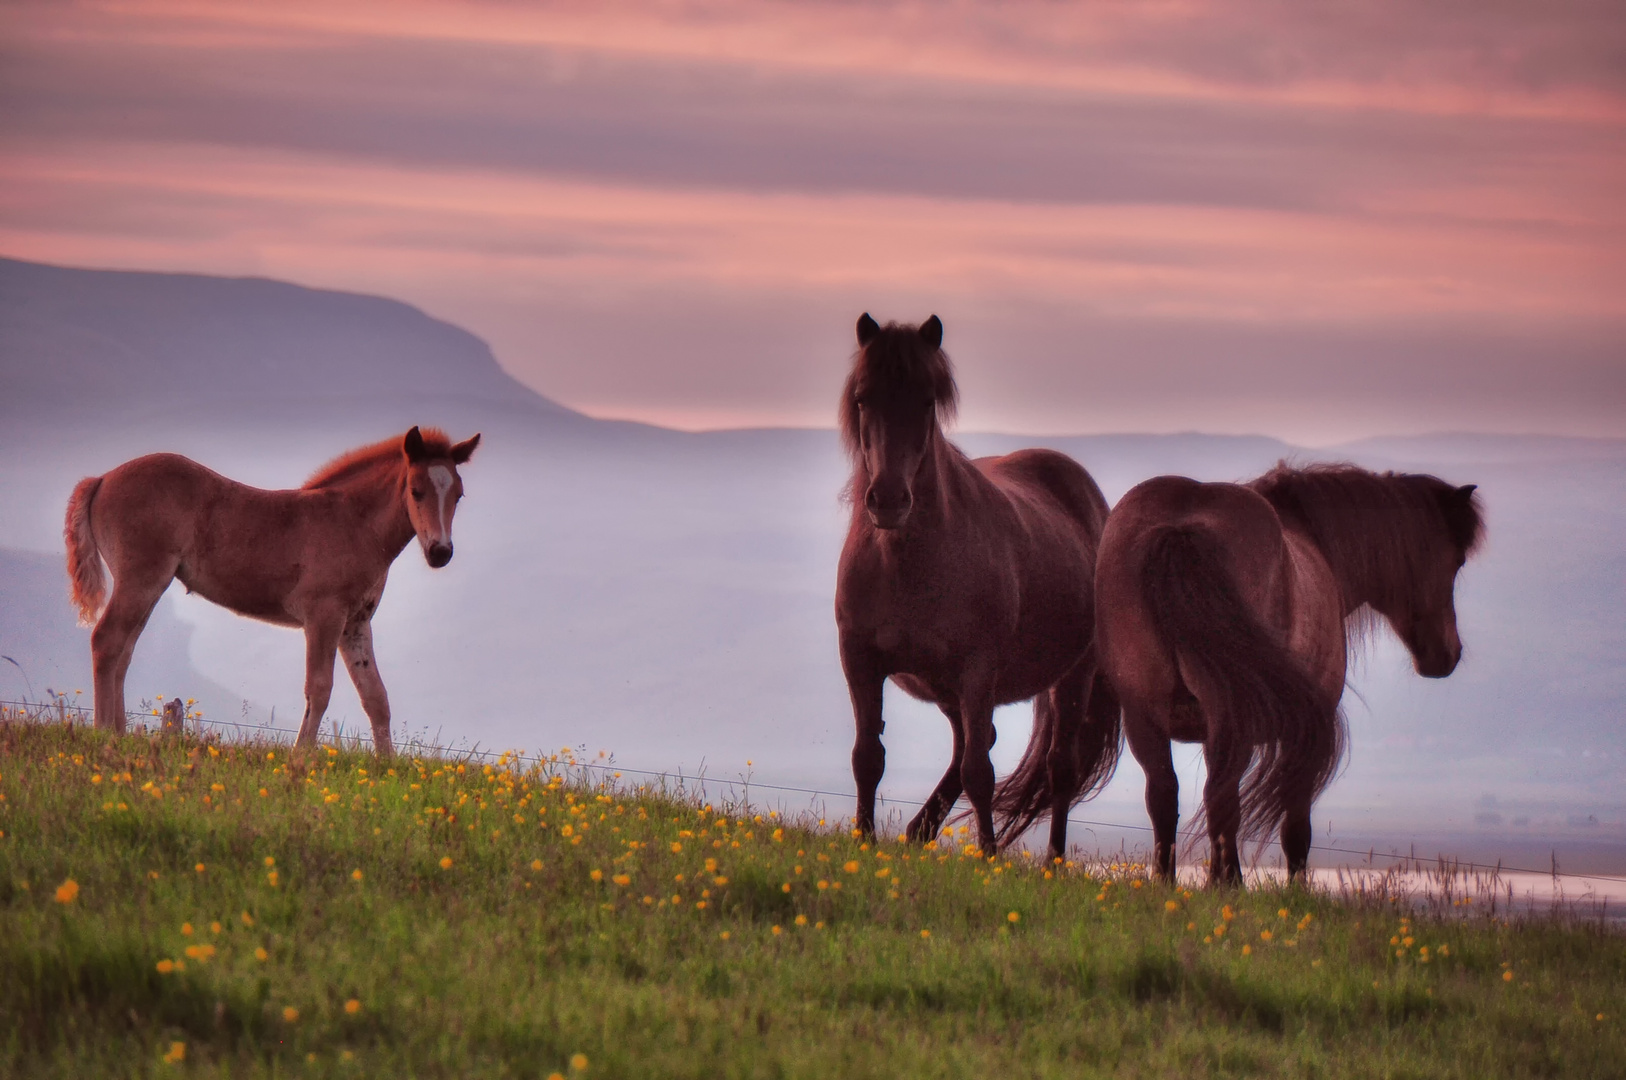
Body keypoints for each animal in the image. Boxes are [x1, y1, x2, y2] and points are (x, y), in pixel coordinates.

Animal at [66, 426, 478, 754]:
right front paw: (301, 756)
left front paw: (386, 765)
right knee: (106, 640)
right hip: (140, 579)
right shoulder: (324, 616)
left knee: (124, 650)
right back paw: (103, 734)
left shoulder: (355, 625)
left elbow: (376, 696)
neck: (353, 524)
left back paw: (120, 734)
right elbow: (320, 687)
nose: (440, 552)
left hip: (148, 586)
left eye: (458, 495)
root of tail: (102, 478)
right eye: (416, 490)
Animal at [839, 313, 1118, 858]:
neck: (905, 564)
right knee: (971, 743)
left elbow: (979, 774)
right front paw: (863, 841)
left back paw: (1054, 860)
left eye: (927, 401)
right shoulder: (860, 660)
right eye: (863, 398)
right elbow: (867, 756)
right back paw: (919, 829)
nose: (888, 499)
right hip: (947, 689)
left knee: (1057, 769)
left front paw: (988, 856)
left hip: (1072, 674)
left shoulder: (977, 671)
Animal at [1092, 465, 1489, 884]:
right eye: (1457, 561)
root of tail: (1180, 525)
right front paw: (1295, 890)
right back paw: (1229, 885)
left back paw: (1169, 884)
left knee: (1166, 796)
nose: (1448, 654)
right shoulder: (1306, 730)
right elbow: (1296, 827)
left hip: (1144, 716)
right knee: (1220, 798)